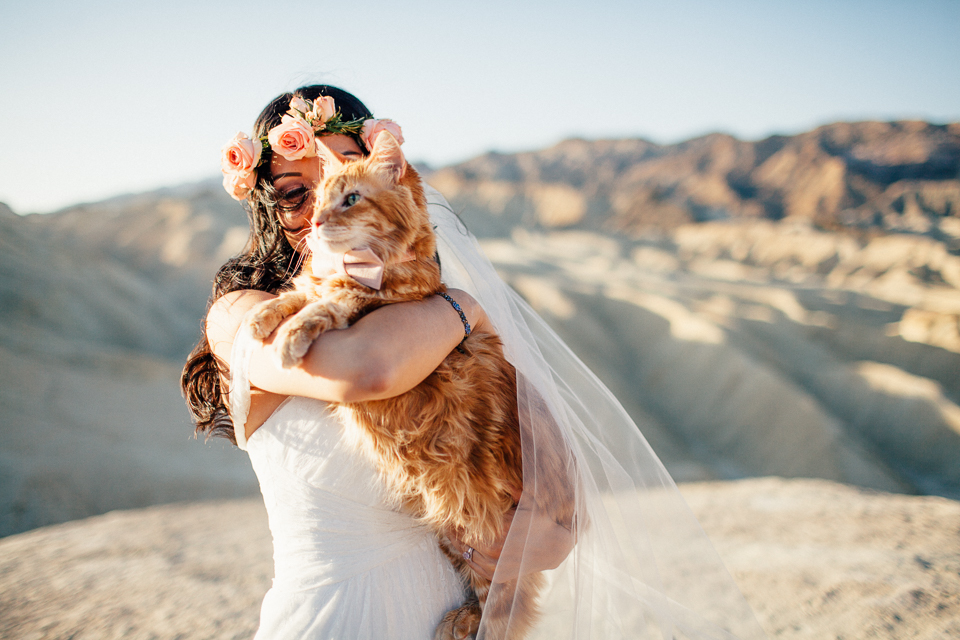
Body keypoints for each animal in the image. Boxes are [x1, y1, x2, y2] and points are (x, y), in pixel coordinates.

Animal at [244, 132, 572, 636]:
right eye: (312, 198)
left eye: (351, 199)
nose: (317, 222)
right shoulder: (319, 283)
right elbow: (298, 294)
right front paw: (262, 317)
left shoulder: (376, 299)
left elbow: (328, 305)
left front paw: (291, 337)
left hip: (486, 537)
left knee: (502, 606)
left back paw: (460, 623)